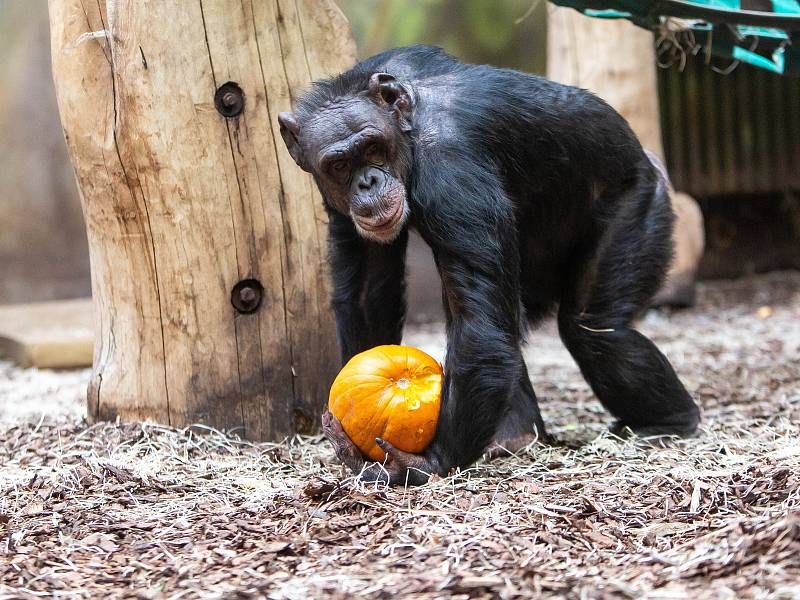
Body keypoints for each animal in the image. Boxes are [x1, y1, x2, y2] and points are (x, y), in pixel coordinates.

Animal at [276, 44, 700, 486]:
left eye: (373, 148)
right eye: (340, 165)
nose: (368, 182)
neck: (407, 135)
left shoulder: (453, 176)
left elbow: (481, 329)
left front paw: (430, 462)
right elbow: (366, 290)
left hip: (640, 204)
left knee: (593, 330)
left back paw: (669, 421)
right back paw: (517, 434)